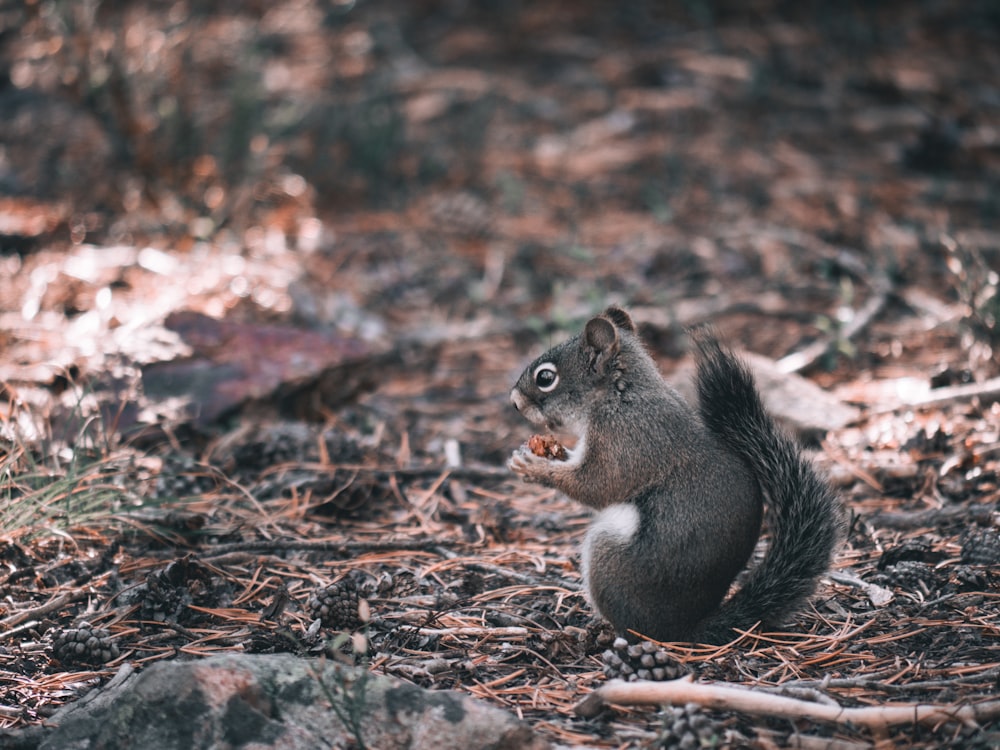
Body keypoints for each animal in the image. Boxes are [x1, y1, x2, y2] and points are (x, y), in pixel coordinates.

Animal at [508, 306, 844, 648]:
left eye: (546, 377)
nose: (514, 401)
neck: (619, 395)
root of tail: (683, 631)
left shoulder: (629, 440)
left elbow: (597, 486)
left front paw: (533, 467)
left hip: (609, 557)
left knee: (630, 630)